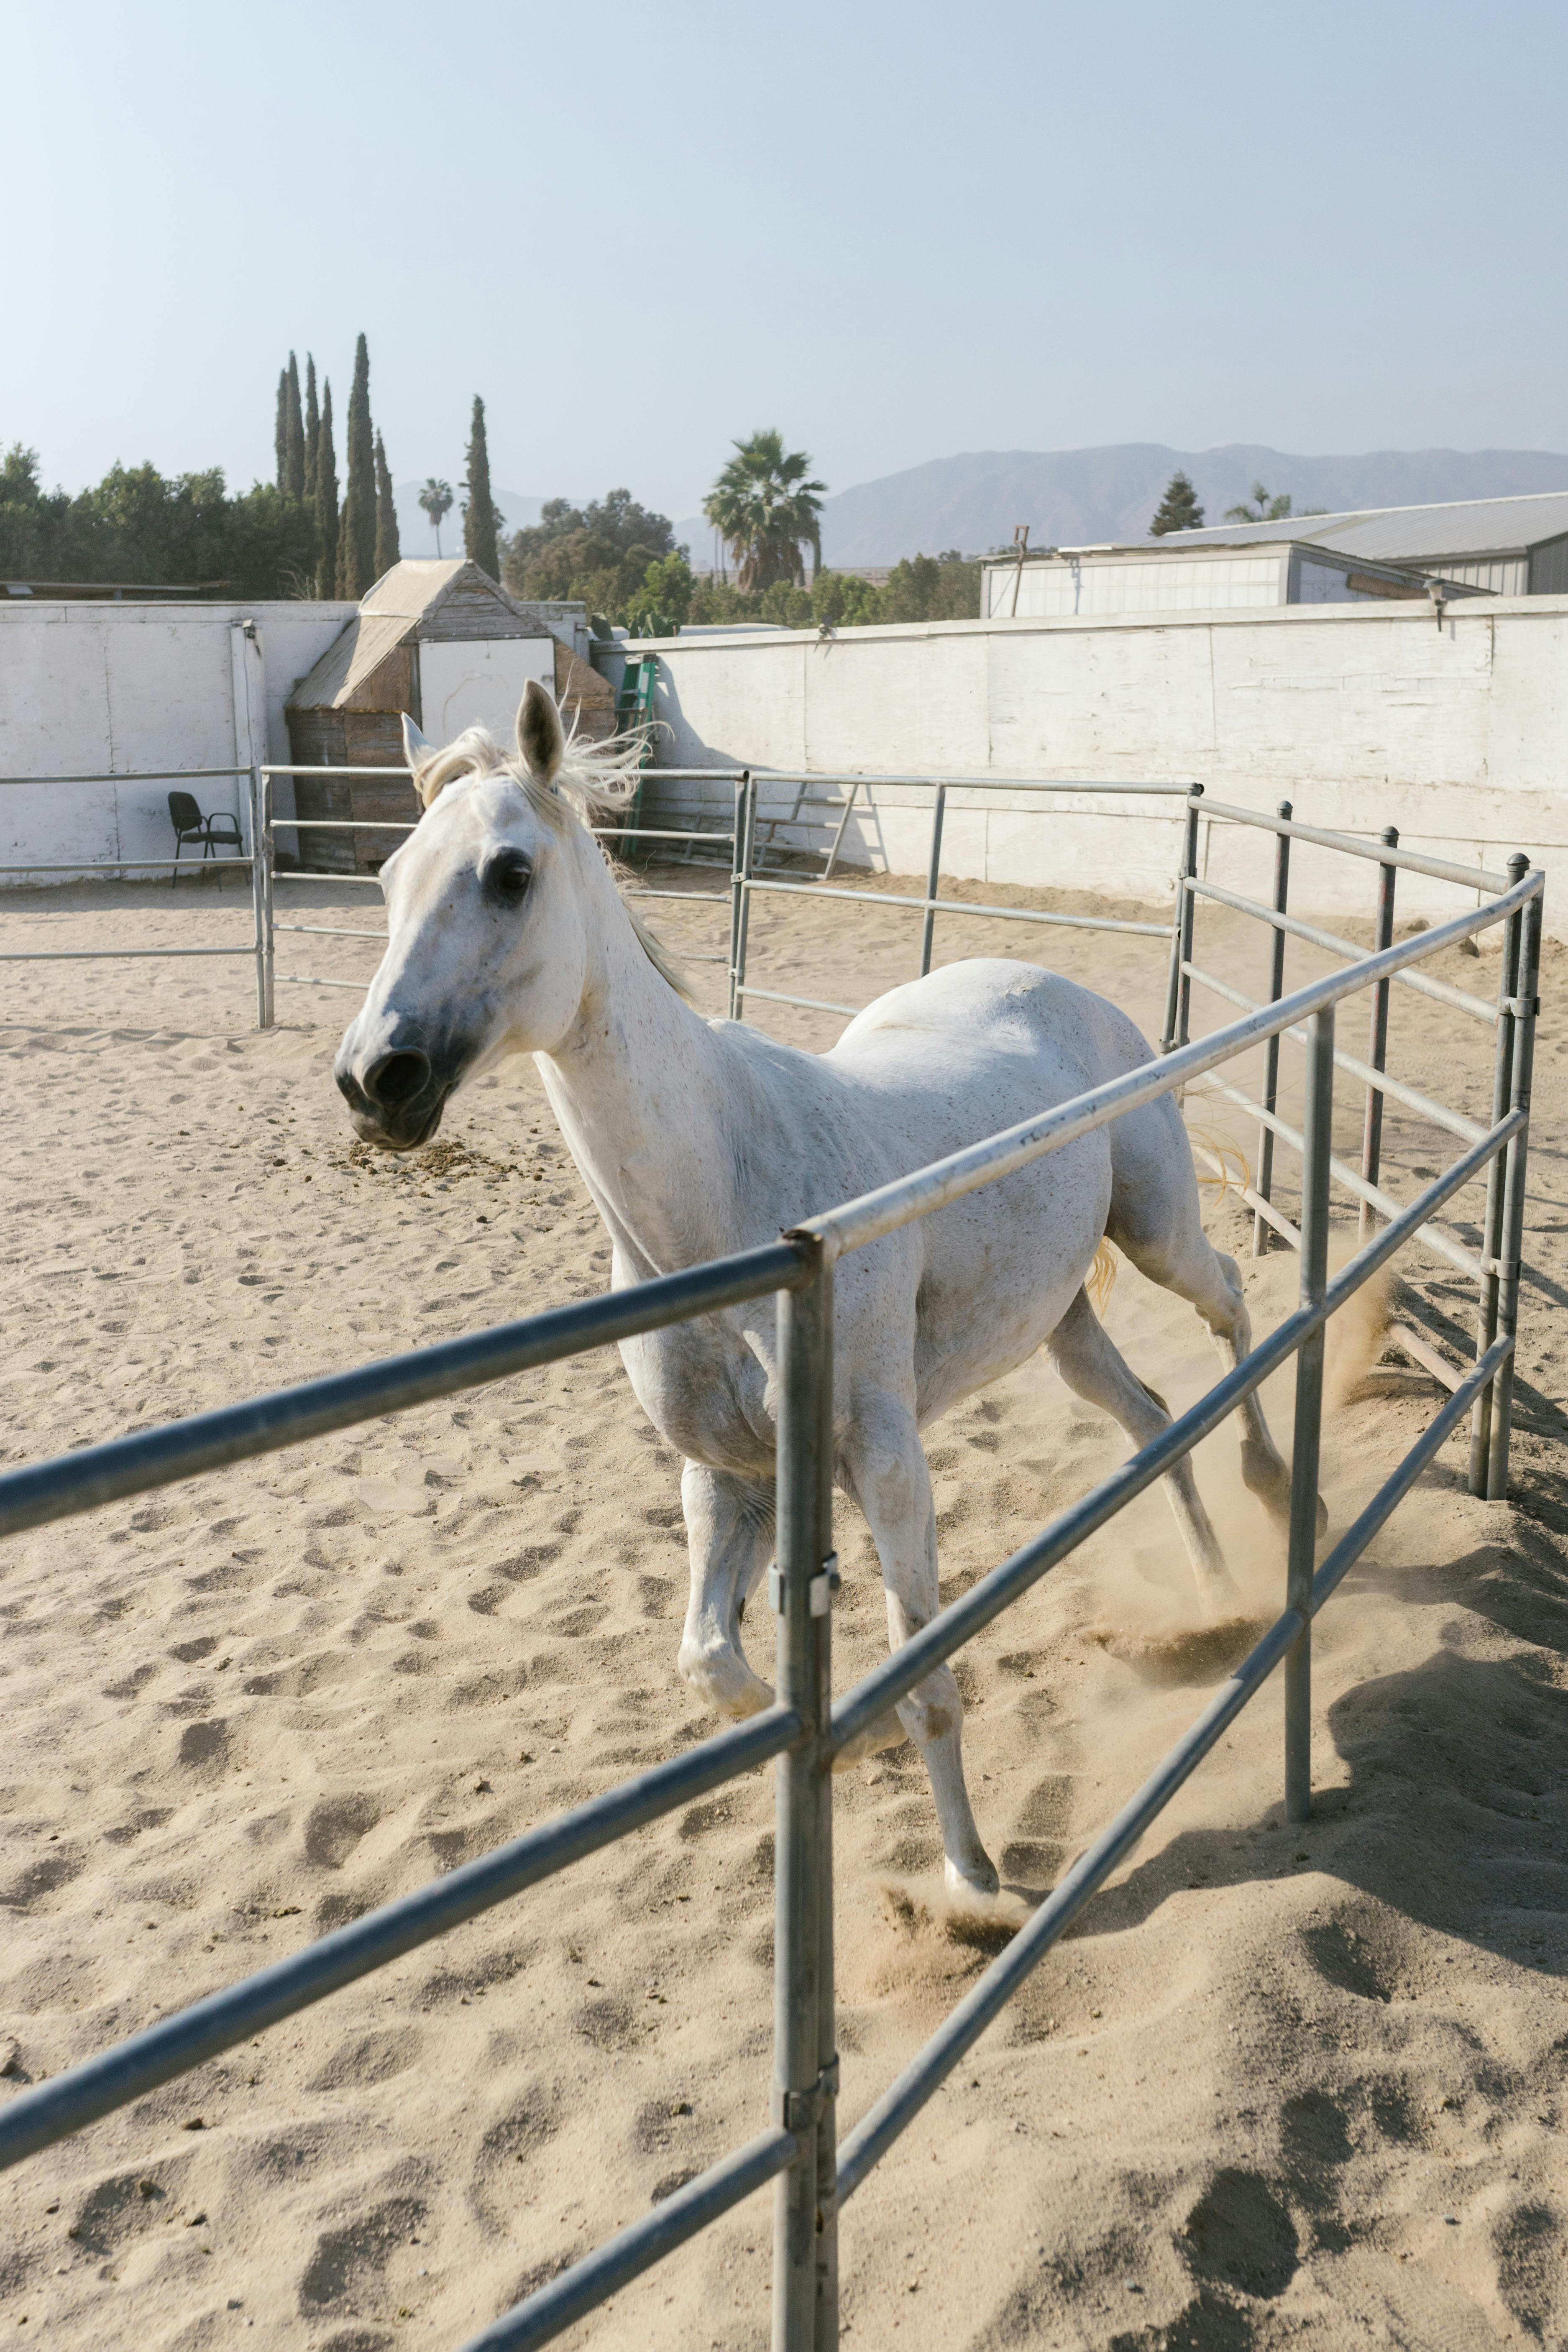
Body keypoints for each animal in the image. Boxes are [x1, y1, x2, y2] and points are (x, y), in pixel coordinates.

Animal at [334, 682, 1297, 1891]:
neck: (735, 1194)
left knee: (1229, 1300)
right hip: (1061, 1324)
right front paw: (853, 1732)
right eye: (388, 876)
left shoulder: (885, 1458)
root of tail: (1065, 990)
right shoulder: (727, 1477)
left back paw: (1278, 1489)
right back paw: (1213, 1596)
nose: (375, 1079)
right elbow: (710, 1660)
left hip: (1157, 1227)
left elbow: (925, 1679)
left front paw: (972, 1881)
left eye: (509, 871)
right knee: (1152, 1416)